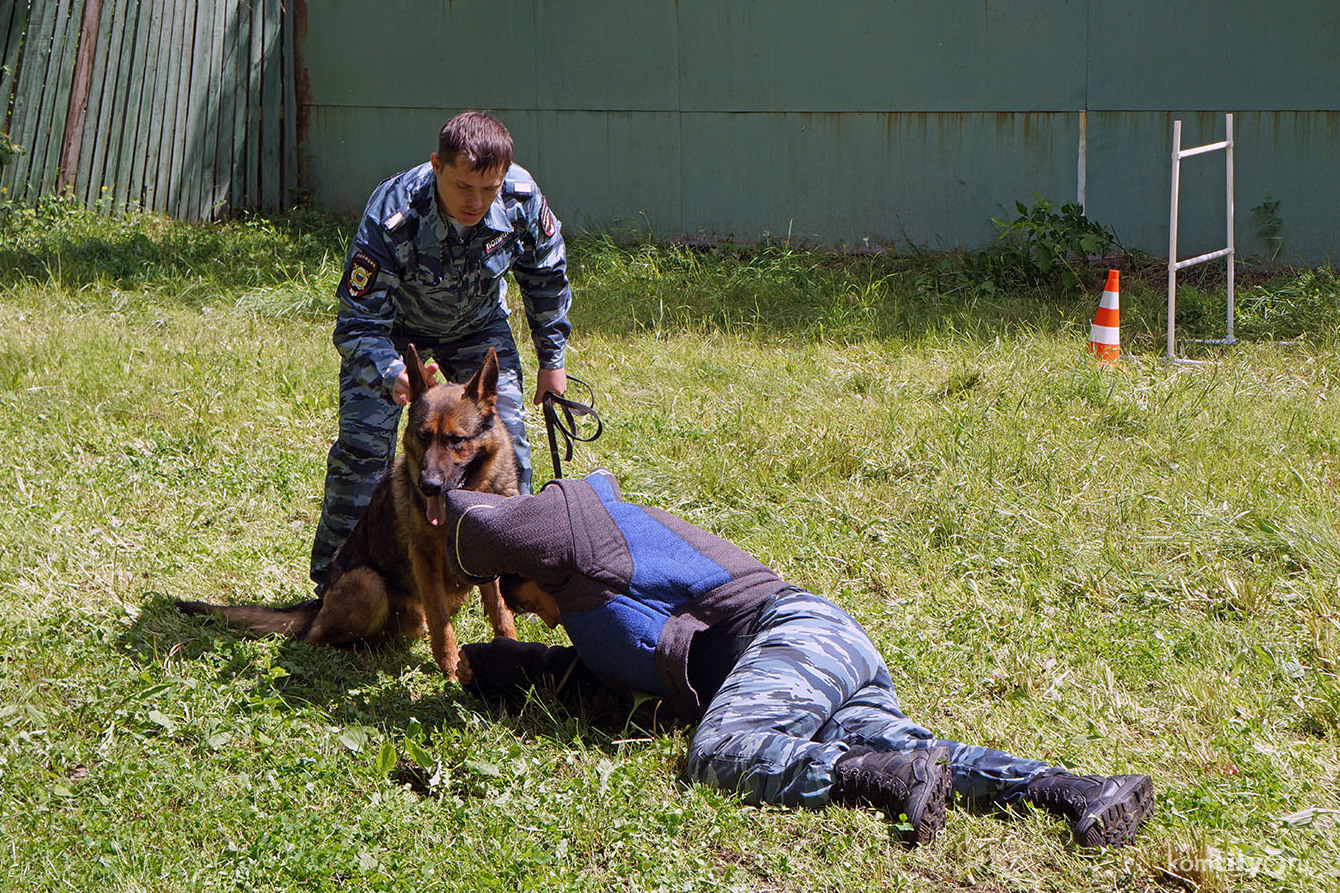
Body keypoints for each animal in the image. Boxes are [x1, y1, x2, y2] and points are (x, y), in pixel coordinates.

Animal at [186, 343, 519, 678]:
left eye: (457, 440)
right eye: (424, 436)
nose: (428, 485)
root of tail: (319, 603)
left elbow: (501, 613)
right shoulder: (424, 560)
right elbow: (442, 624)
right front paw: (452, 670)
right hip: (368, 584)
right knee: (316, 640)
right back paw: (364, 657)